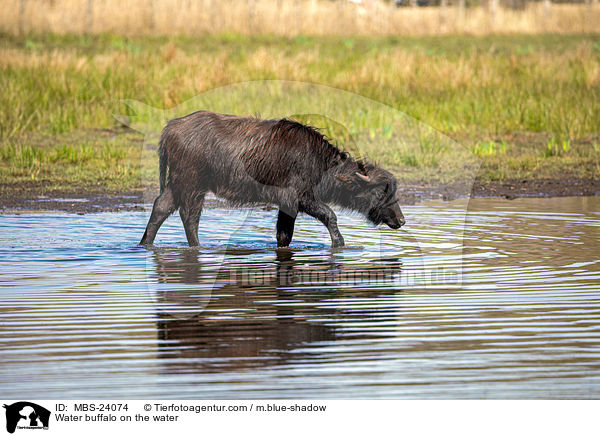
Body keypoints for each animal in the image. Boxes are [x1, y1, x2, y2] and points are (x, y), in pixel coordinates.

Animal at [138, 111, 406, 249]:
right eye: (381, 191)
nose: (401, 220)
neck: (319, 164)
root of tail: (171, 129)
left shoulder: (287, 206)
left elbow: (284, 235)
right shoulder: (300, 198)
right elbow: (330, 215)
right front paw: (340, 244)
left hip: (177, 183)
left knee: (161, 207)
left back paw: (145, 244)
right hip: (192, 185)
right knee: (190, 216)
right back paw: (197, 247)